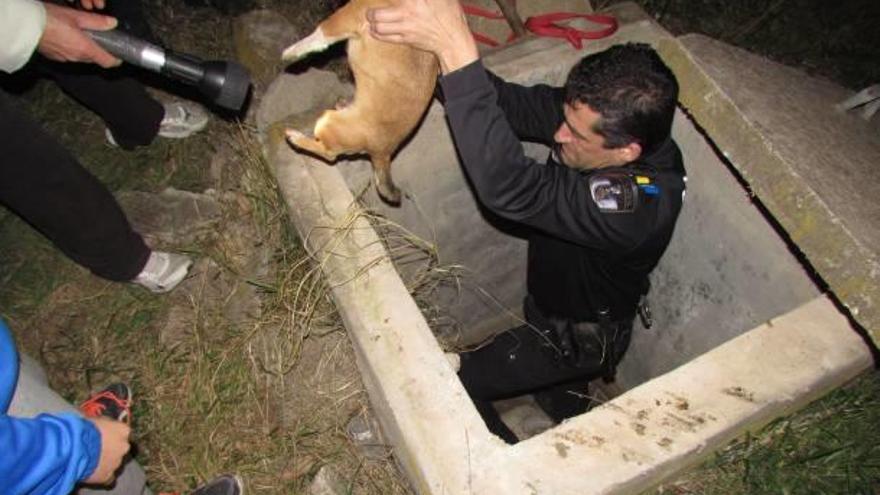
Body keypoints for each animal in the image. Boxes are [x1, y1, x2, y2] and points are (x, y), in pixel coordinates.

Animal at [284, 0, 438, 205]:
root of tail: (384, 153)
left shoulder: (350, 12)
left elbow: (320, 33)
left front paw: (292, 52)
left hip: (328, 121)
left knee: (329, 154)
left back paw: (295, 137)